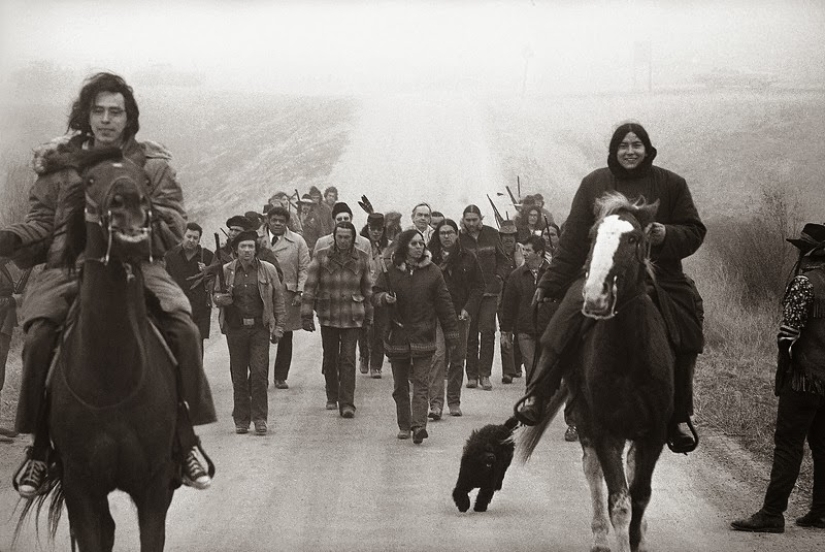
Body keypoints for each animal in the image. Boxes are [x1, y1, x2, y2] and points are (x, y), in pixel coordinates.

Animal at [520, 193, 672, 552]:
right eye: (592, 236)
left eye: (634, 239)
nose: (595, 297)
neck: (630, 357)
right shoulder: (605, 431)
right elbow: (620, 503)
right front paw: (617, 538)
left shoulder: (654, 434)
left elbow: (640, 496)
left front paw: (639, 539)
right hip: (586, 419)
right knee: (592, 472)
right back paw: (600, 536)